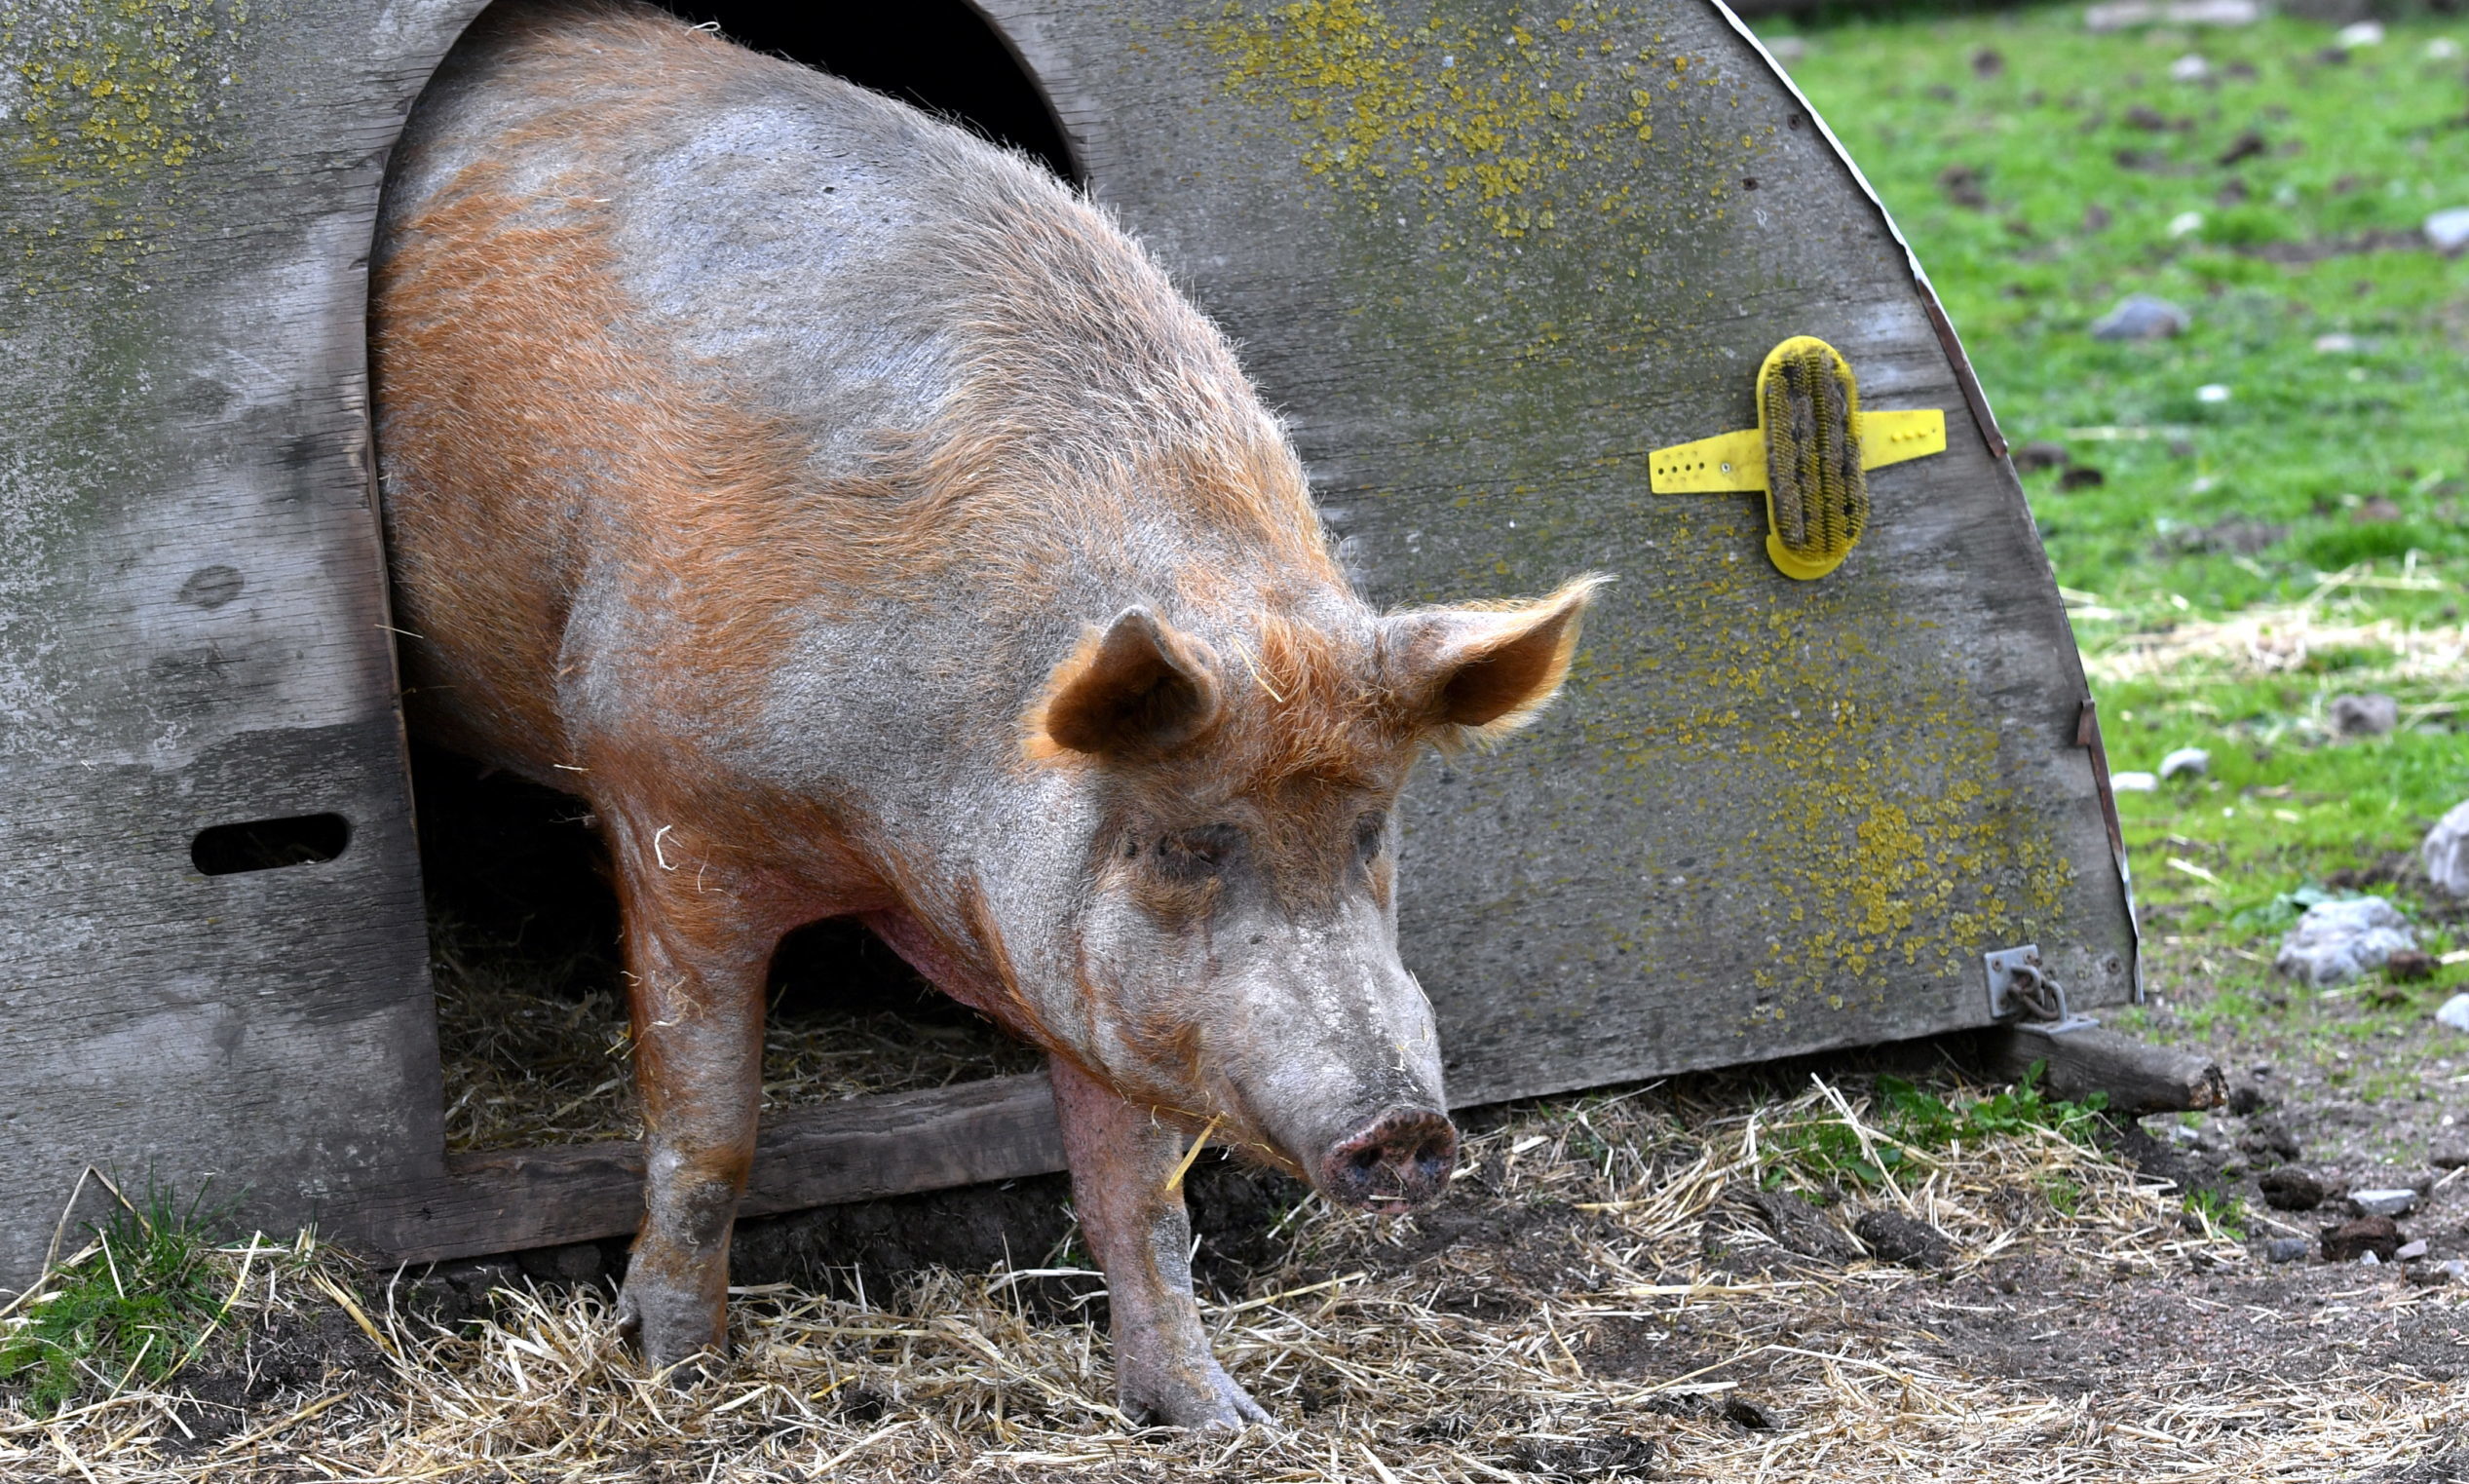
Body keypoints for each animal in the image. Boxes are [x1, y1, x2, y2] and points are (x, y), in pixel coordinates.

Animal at [367, 0, 1600, 1431]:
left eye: (1369, 832)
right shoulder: (665, 804)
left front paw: (1220, 1416)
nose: (1403, 1122)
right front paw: (675, 1368)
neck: (889, 835)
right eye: (1181, 843)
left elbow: (1139, 1193)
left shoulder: (1102, 981)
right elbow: (708, 1127)